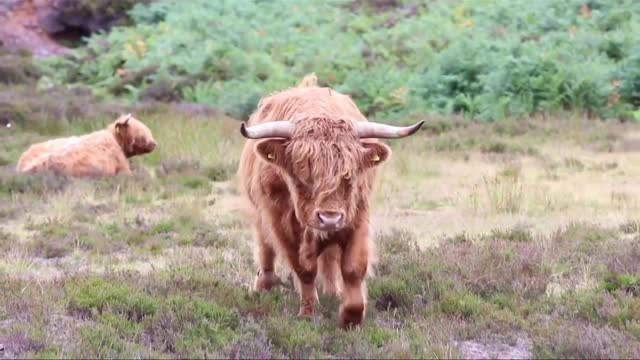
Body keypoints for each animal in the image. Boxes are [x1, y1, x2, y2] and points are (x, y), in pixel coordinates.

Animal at [238, 74, 422, 328]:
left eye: (349, 174)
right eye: (303, 173)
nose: (329, 218)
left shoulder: (356, 215)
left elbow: (353, 267)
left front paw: (350, 317)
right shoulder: (281, 222)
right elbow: (303, 268)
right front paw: (308, 313)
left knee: (329, 259)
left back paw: (333, 291)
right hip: (261, 214)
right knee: (266, 246)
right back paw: (263, 286)